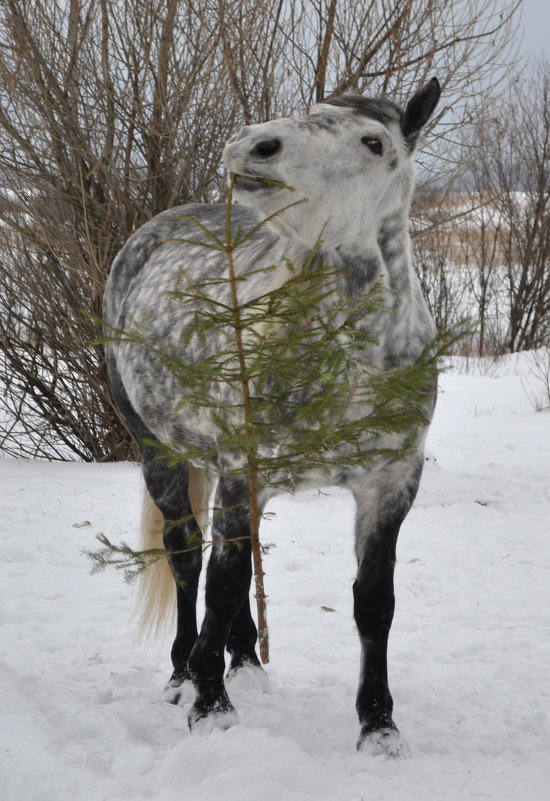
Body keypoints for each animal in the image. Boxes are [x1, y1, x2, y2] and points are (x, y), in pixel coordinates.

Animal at [103, 76, 444, 756]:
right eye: (312, 114)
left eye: (374, 142)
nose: (253, 146)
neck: (351, 357)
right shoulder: (242, 469)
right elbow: (224, 582)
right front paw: (210, 709)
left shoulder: (392, 483)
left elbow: (374, 603)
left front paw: (379, 728)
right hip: (160, 451)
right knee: (187, 558)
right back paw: (183, 673)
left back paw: (246, 665)